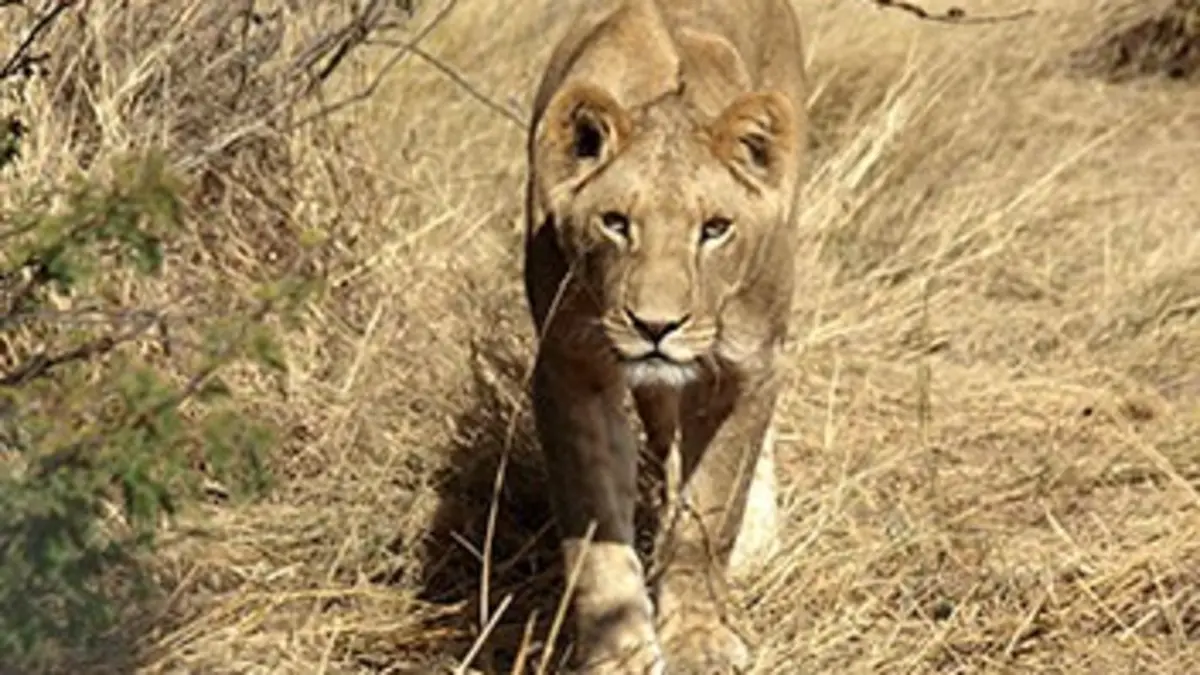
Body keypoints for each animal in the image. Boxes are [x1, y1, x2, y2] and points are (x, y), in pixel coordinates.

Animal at [521, 0, 809, 671]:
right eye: (616, 223)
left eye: (715, 229)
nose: (656, 327)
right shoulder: (569, 367)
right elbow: (595, 529)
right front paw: (619, 651)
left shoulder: (745, 367)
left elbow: (712, 510)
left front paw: (698, 641)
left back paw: (759, 539)